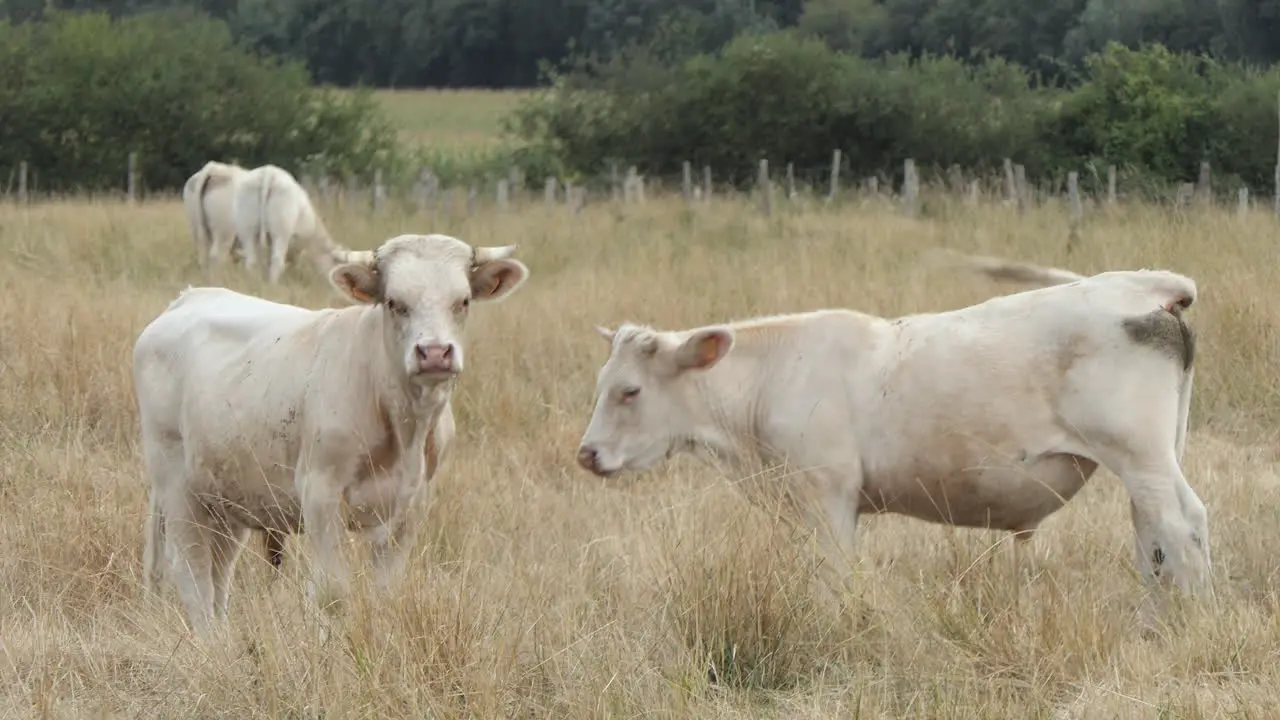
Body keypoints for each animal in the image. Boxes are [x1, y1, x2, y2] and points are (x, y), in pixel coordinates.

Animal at [132, 233, 527, 630]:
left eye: (463, 301)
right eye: (394, 302)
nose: (433, 353)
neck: (405, 427)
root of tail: (189, 298)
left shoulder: (412, 506)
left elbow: (385, 591)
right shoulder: (320, 493)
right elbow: (330, 593)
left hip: (228, 495)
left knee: (219, 574)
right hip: (177, 486)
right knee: (192, 573)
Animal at [576, 263, 1213, 622]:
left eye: (630, 391)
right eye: (602, 384)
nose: (587, 454)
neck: (774, 374)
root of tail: (1139, 285)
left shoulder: (827, 498)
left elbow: (831, 578)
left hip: (1141, 458)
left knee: (1177, 529)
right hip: (1156, 460)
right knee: (1159, 537)